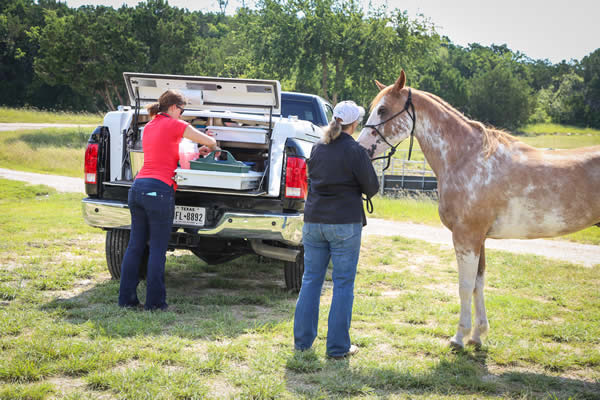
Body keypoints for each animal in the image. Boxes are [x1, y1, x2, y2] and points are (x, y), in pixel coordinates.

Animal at [356, 70, 600, 348]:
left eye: (383, 110)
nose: (361, 148)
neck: (467, 158)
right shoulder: (479, 239)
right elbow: (478, 284)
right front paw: (477, 335)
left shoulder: (467, 237)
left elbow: (464, 285)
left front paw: (459, 337)